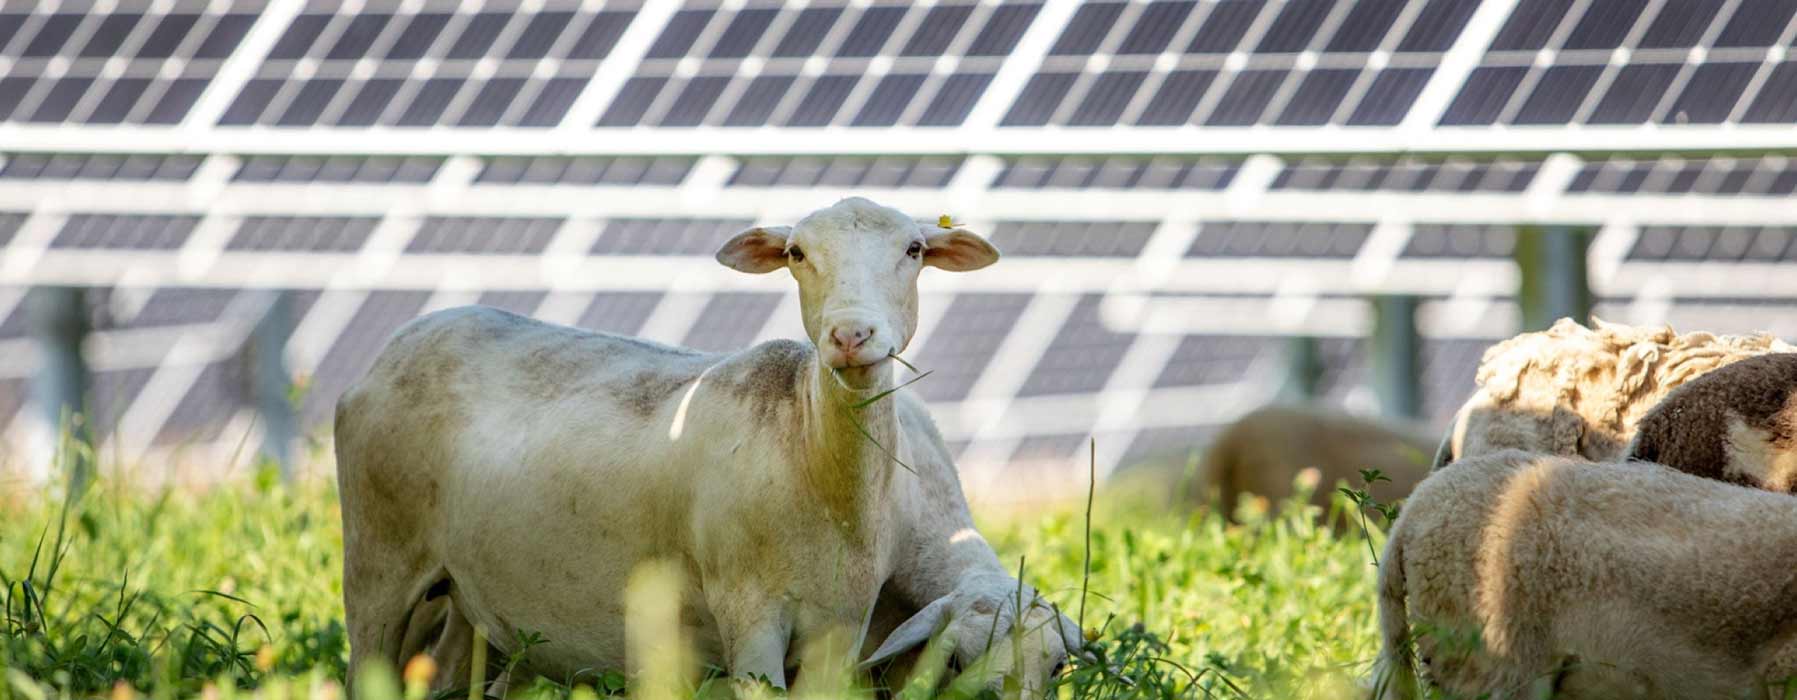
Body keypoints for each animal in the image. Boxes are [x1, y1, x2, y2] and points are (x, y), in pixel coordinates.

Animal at [334, 197, 1082, 696]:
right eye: (796, 254)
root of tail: (407, 337)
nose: (849, 335)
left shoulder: (836, 635)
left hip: (474, 603)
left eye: (914, 251)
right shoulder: (749, 618)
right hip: (378, 568)